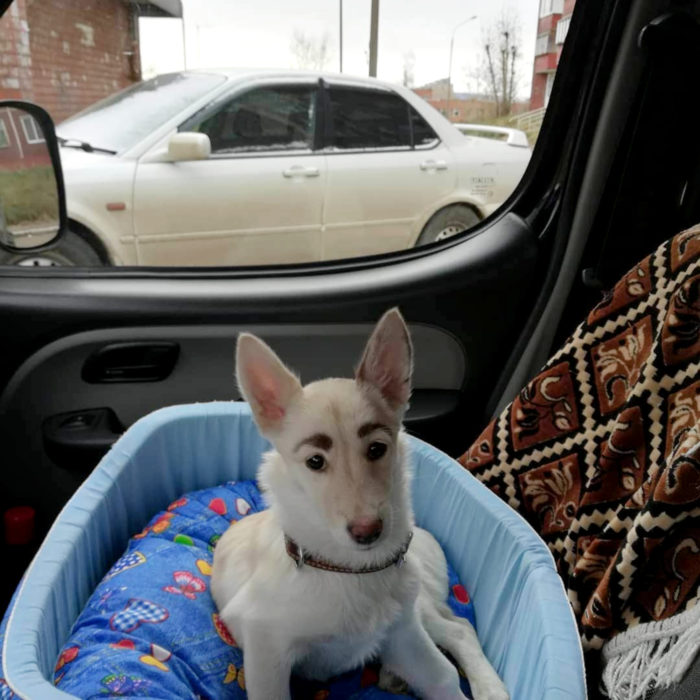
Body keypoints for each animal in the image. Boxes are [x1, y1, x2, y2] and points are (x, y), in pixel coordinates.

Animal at [211, 308, 512, 696]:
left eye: (377, 449)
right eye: (315, 462)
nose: (368, 532)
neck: (347, 569)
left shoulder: (405, 634)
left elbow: (443, 676)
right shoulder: (265, 648)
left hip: (418, 605)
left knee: (459, 628)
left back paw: (487, 688)